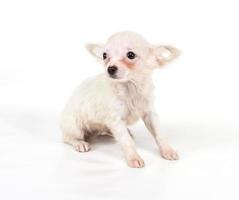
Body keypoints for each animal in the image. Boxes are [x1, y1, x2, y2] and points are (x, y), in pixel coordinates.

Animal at [60, 32, 180, 168]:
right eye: (104, 55)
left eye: (130, 55)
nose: (110, 68)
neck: (130, 87)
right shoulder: (116, 120)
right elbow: (126, 141)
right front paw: (134, 158)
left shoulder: (150, 114)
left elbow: (159, 134)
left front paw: (168, 150)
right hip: (74, 126)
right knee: (67, 137)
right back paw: (79, 143)